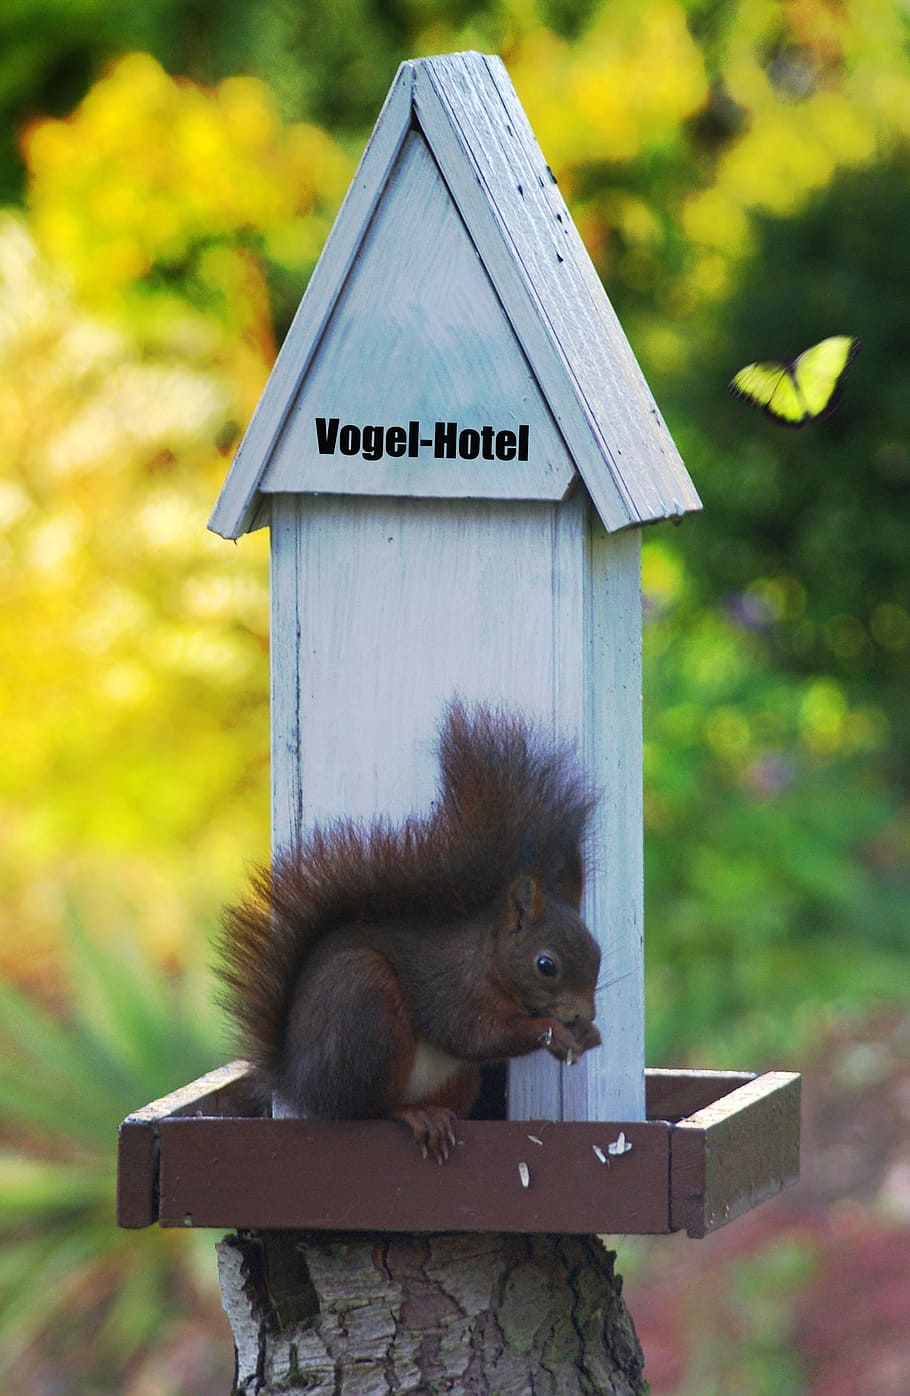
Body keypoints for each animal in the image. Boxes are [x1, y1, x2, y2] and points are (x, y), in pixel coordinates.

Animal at [217, 701, 602, 1161]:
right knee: (367, 1109)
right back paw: (413, 1115)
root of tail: (298, 1083)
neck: (486, 963)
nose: (584, 1014)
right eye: (546, 965)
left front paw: (588, 1035)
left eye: (598, 954)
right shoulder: (451, 990)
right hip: (365, 1009)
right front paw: (554, 1033)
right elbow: (475, 1036)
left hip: (457, 1079)